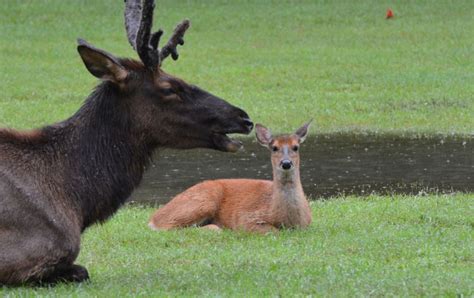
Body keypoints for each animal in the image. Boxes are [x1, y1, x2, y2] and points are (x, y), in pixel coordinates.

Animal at [148, 121, 312, 233]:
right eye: (274, 148)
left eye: (296, 147)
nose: (286, 163)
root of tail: (153, 218)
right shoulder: (246, 219)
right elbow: (272, 231)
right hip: (202, 201)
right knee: (169, 227)